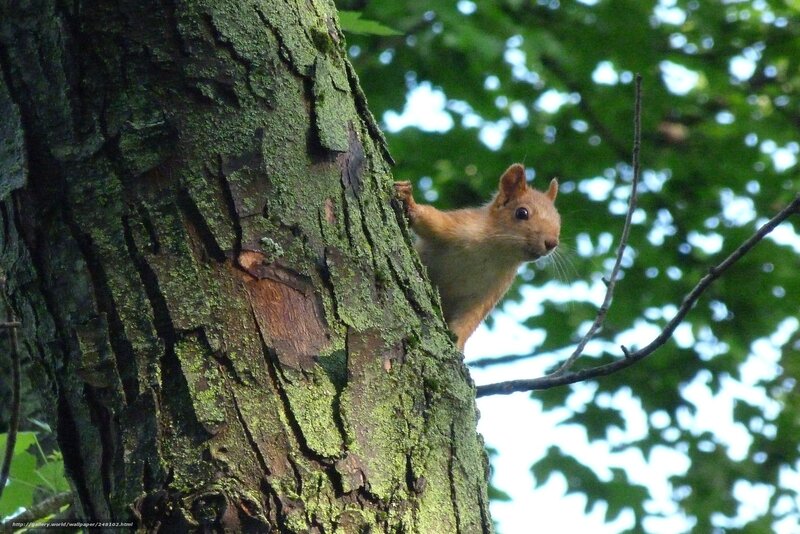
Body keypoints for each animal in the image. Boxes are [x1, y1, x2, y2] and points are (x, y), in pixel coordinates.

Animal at [395, 164, 560, 350]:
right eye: (522, 213)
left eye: (558, 220)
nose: (552, 243)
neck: (494, 254)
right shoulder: (459, 226)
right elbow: (431, 220)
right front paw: (409, 201)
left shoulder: (486, 295)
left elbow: (469, 321)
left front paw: (457, 345)